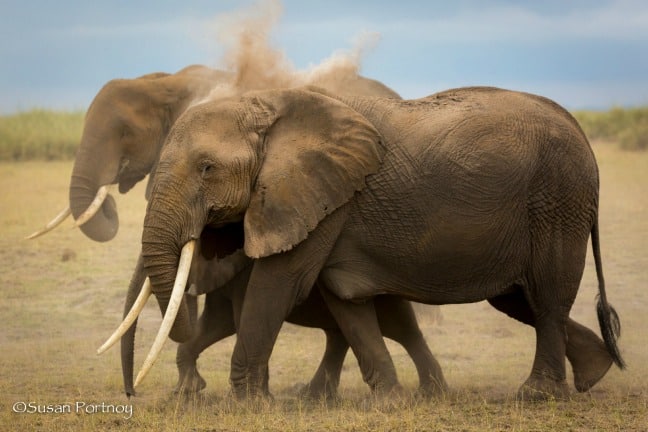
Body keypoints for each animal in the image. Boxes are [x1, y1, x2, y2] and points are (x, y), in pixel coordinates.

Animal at [135, 85, 624, 402]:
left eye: (207, 169)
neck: (270, 103)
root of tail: (578, 127)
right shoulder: (330, 207)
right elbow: (346, 301)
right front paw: (390, 399)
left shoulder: (321, 200)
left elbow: (280, 284)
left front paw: (251, 403)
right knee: (520, 299)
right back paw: (595, 373)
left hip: (558, 200)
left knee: (546, 297)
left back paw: (537, 395)